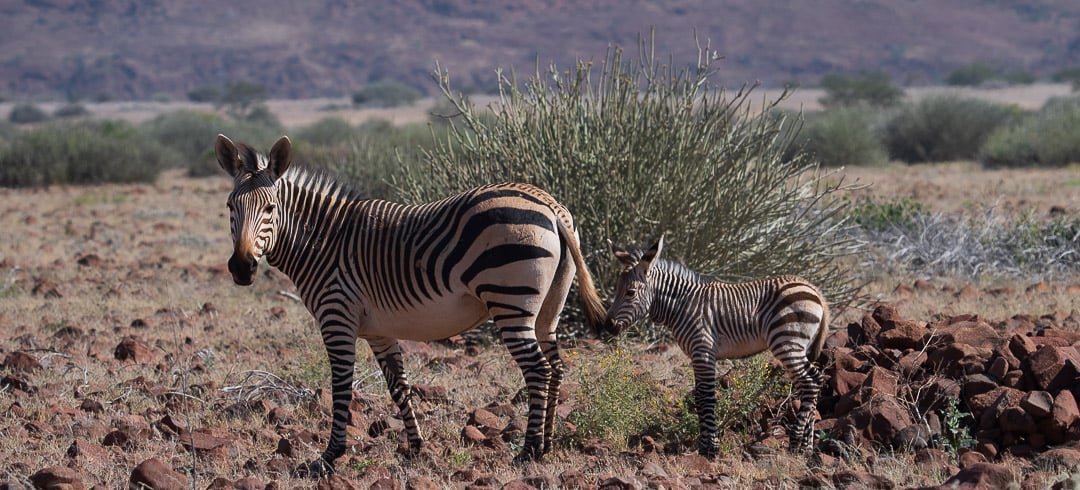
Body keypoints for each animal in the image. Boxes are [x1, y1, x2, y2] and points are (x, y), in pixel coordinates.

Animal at [214, 134, 606, 475]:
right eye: (230, 206)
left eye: (270, 208)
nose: (241, 267)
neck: (322, 242)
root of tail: (550, 205)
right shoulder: (378, 331)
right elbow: (398, 385)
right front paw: (416, 448)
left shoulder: (337, 316)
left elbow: (341, 387)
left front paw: (330, 456)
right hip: (548, 310)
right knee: (556, 367)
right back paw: (547, 444)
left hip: (510, 303)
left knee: (538, 369)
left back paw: (527, 451)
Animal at [604, 236, 829, 458]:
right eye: (617, 290)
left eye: (630, 292)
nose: (607, 326)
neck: (681, 306)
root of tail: (814, 289)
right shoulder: (698, 355)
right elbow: (699, 398)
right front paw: (705, 446)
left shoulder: (703, 351)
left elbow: (706, 397)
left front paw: (710, 449)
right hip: (795, 345)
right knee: (811, 382)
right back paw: (806, 447)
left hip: (787, 341)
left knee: (811, 382)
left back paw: (795, 444)